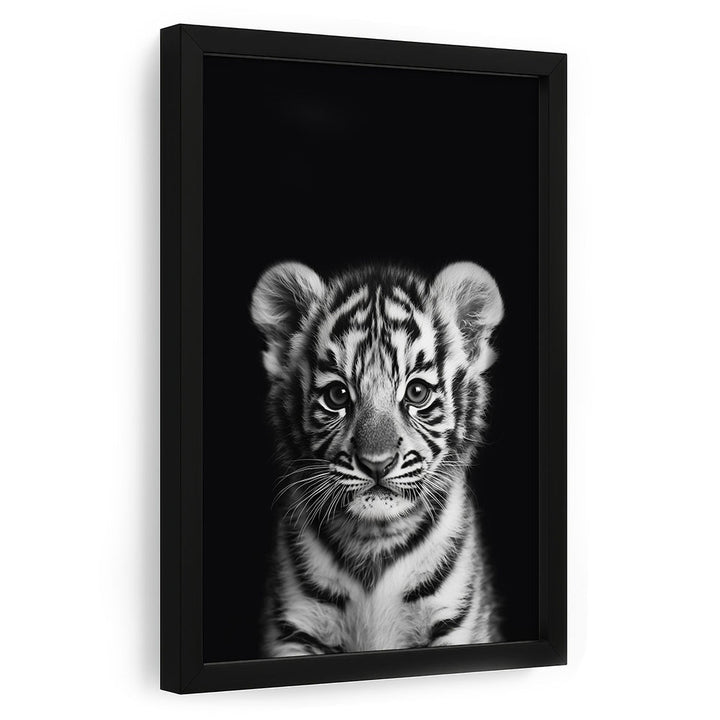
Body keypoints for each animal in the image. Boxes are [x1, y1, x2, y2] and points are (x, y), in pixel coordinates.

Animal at [250, 260, 504, 656]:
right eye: (338, 396)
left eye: (417, 392)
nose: (376, 463)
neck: (374, 539)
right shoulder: (297, 628)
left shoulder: (455, 620)